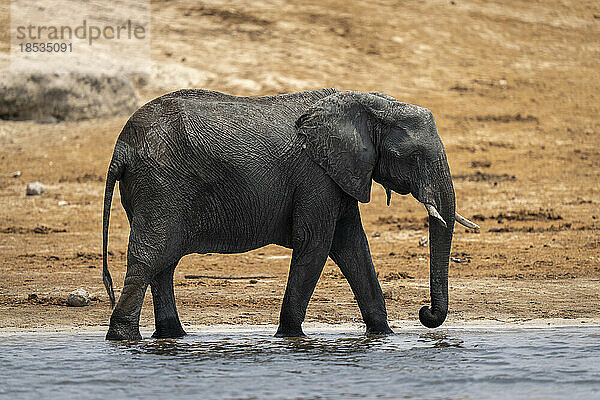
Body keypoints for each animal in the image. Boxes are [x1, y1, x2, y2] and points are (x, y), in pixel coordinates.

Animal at [102, 88, 478, 340]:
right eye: (412, 156)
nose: (425, 313)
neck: (364, 103)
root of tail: (121, 147)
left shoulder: (339, 175)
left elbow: (352, 246)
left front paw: (383, 335)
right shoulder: (316, 175)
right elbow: (316, 243)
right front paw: (289, 338)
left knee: (164, 262)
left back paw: (172, 337)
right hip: (160, 185)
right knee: (152, 256)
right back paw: (124, 338)